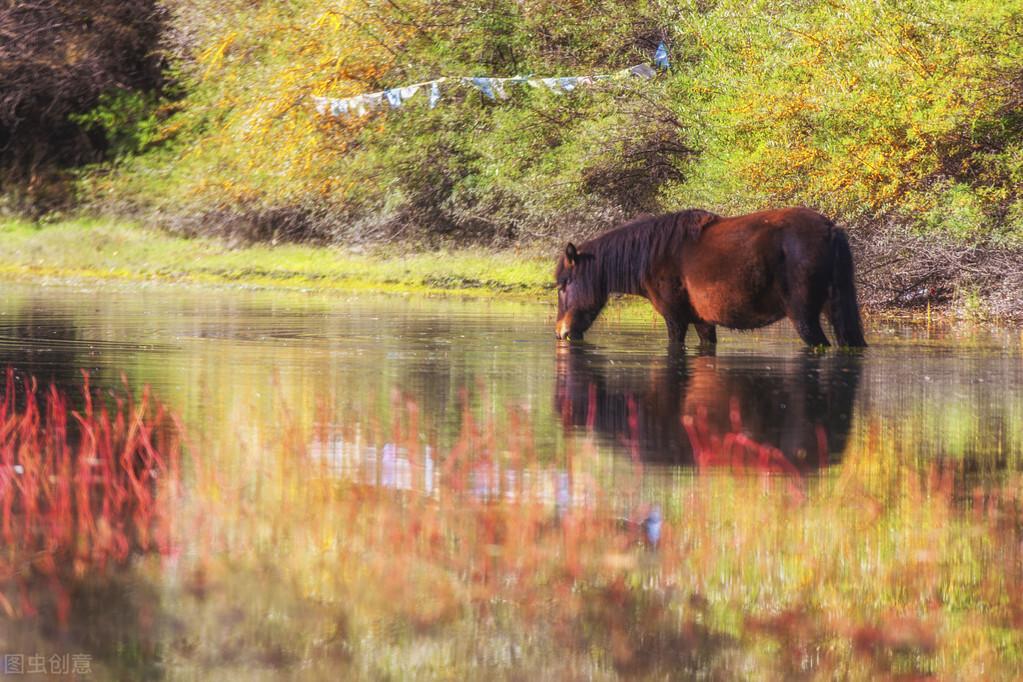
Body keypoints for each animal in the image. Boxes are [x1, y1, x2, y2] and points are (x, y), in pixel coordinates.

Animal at [556, 206, 867, 347]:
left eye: (563, 286)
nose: (561, 332)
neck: (654, 254)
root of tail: (830, 229)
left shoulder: (676, 319)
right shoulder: (702, 321)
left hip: (804, 318)